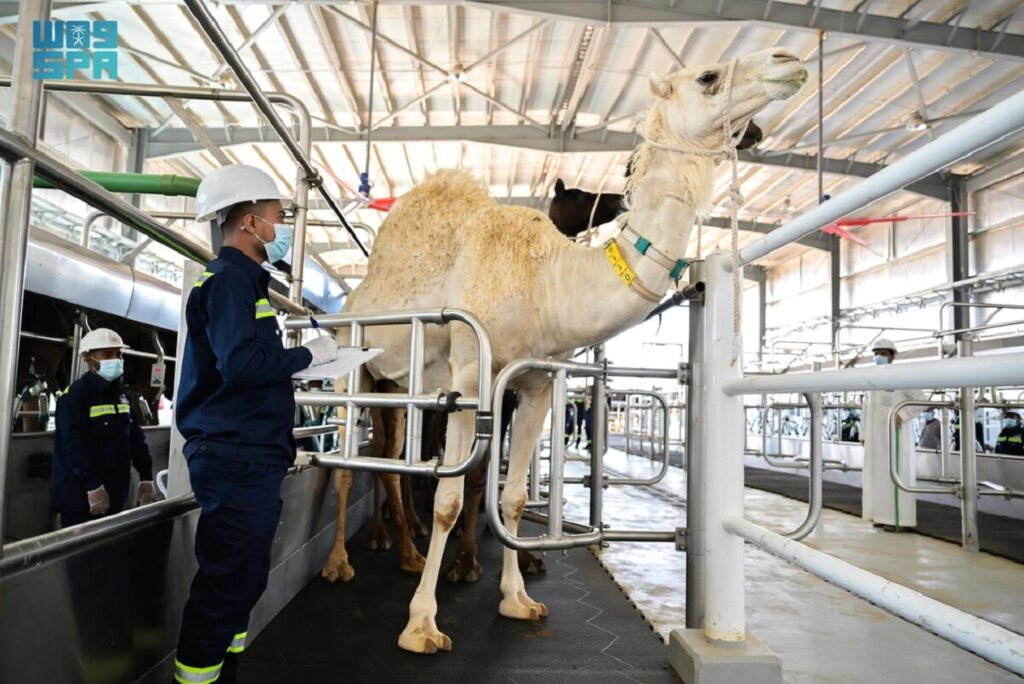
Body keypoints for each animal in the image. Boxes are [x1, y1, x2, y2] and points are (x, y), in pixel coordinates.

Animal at [324, 48, 807, 653]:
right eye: (707, 76)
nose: (789, 61)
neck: (544, 278)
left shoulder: (535, 385)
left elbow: (508, 498)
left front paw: (517, 599)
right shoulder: (469, 378)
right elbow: (450, 500)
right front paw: (421, 626)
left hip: (397, 384)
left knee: (388, 460)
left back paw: (405, 553)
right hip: (353, 367)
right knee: (347, 463)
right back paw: (341, 564)